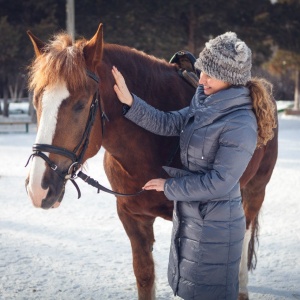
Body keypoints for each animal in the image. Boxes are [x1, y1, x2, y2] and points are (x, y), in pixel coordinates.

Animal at [26, 24, 278, 300]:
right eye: (37, 100)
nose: (38, 188)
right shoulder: (132, 217)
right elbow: (144, 276)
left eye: (81, 105)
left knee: (244, 233)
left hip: (255, 190)